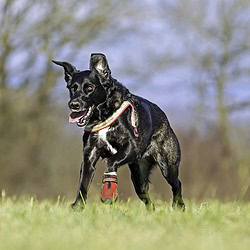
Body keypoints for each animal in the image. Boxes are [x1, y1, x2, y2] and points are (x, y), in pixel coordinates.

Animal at [52, 53, 185, 209]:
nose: (73, 104)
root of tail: (164, 116)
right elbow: (83, 184)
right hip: (138, 175)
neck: (102, 116)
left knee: (176, 184)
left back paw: (179, 205)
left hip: (167, 164)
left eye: (89, 87)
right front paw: (78, 206)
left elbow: (111, 162)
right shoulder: (89, 155)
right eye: (72, 88)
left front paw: (108, 191)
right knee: (146, 196)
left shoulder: (132, 147)